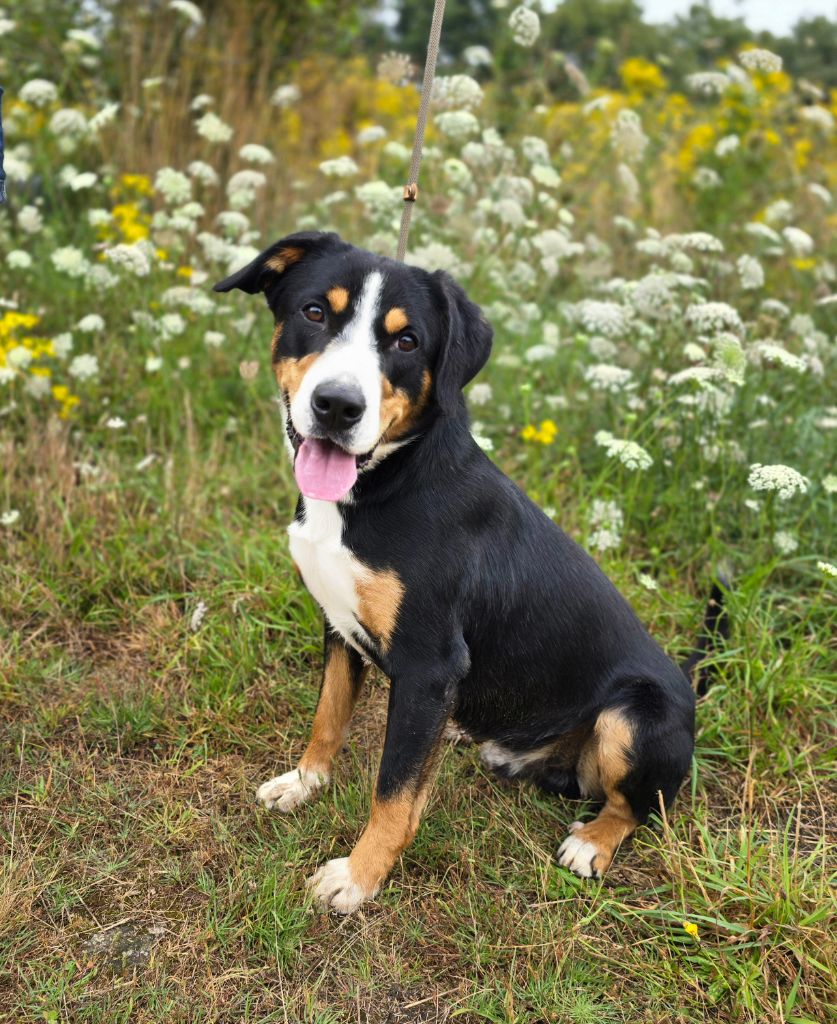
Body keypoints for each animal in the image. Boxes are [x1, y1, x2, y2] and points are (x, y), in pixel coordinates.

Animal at [212, 234, 721, 921]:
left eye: (406, 342)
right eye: (315, 312)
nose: (337, 406)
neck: (383, 483)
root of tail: (687, 687)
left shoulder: (430, 665)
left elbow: (394, 792)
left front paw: (358, 877)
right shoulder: (339, 628)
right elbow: (328, 717)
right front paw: (304, 783)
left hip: (634, 717)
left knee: (641, 805)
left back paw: (592, 843)